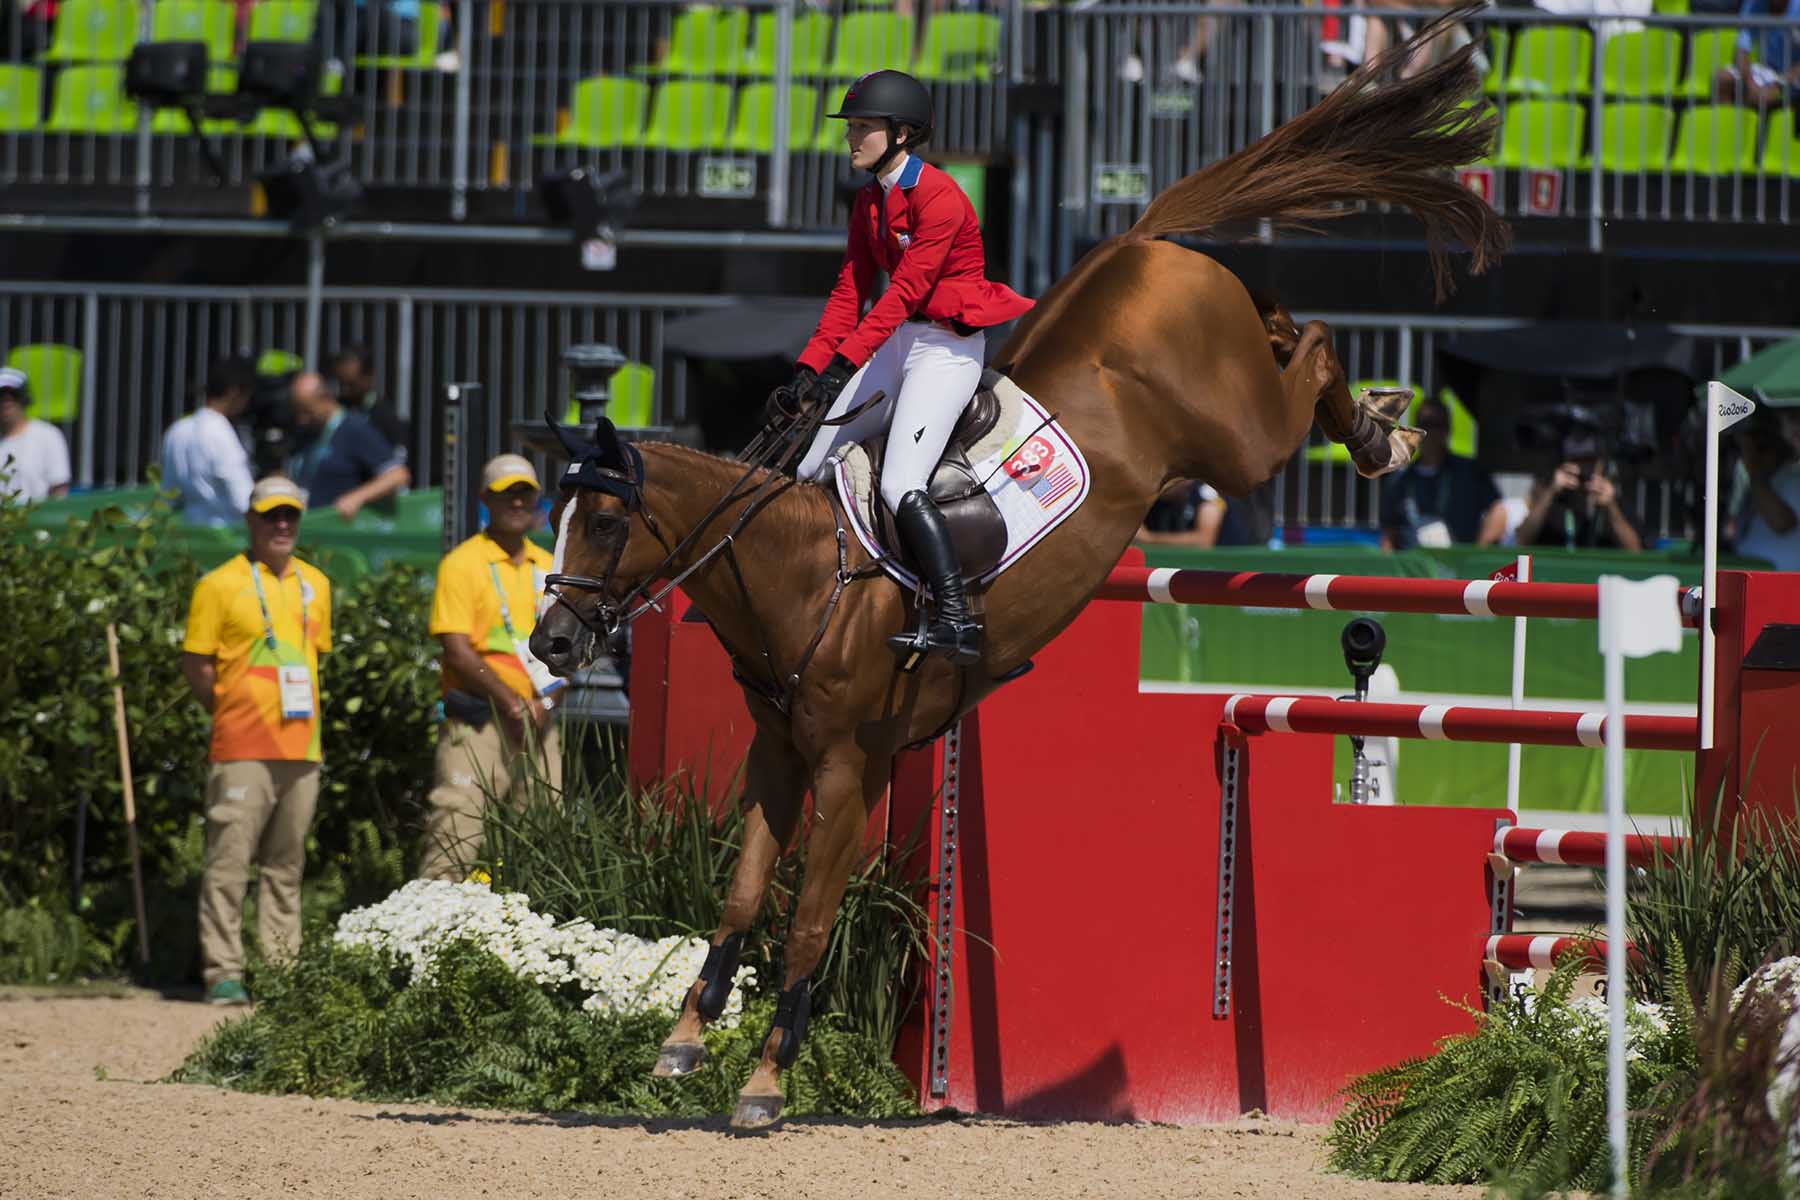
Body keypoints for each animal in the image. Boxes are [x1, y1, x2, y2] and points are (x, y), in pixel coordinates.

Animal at [529, 9, 1504, 1129]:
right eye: (560, 516)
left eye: (606, 521)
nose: (551, 639)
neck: (802, 577)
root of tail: (1137, 242)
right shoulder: (776, 757)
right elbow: (739, 895)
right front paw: (684, 1043)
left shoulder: (853, 768)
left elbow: (811, 919)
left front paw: (766, 1082)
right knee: (1289, 325)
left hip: (1240, 443)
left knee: (1315, 347)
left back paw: (1385, 432)